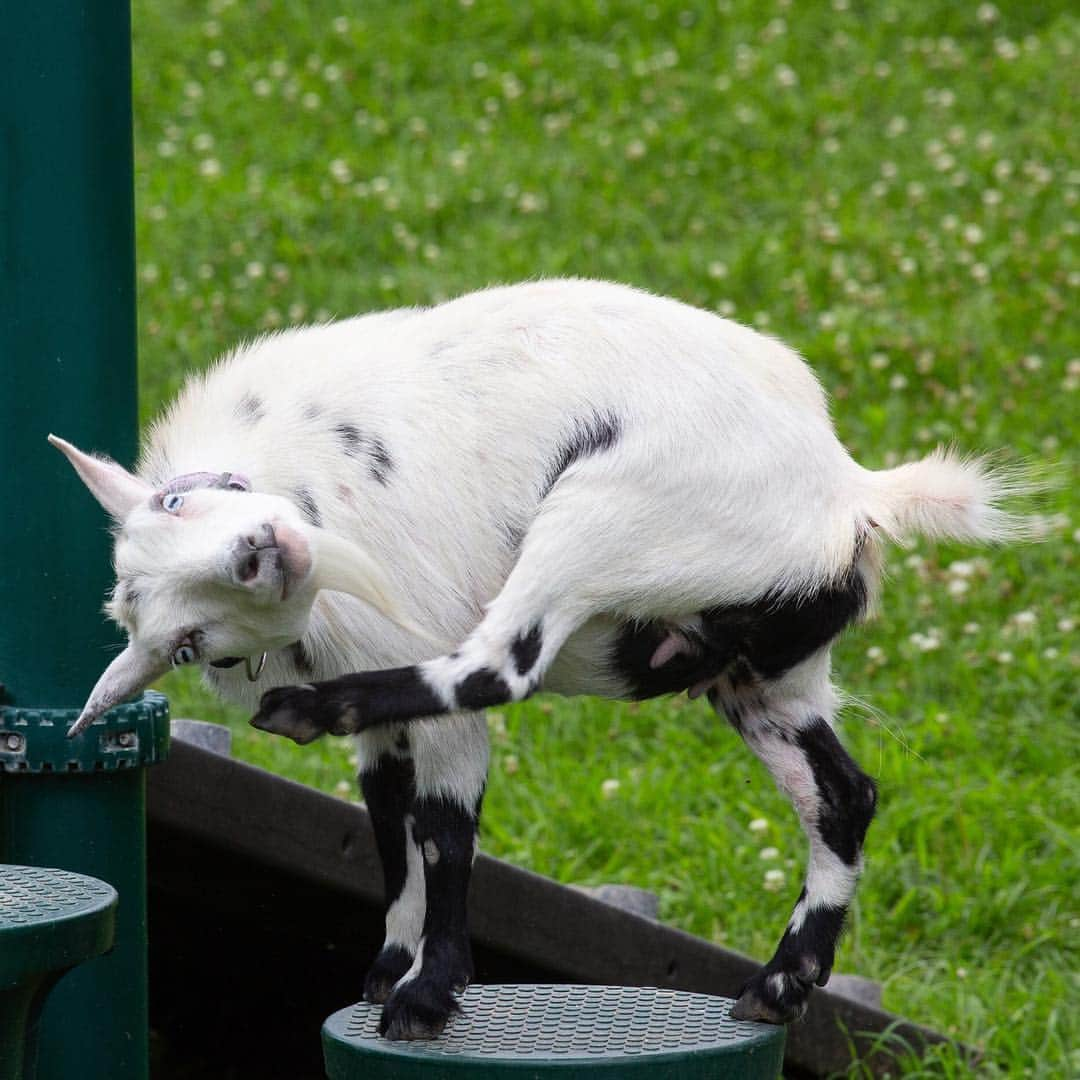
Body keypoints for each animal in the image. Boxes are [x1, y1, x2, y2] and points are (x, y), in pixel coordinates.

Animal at [50, 278, 1028, 1036]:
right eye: (181, 642)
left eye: (177, 502)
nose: (259, 551)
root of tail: (850, 492)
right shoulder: (385, 735)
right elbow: (391, 823)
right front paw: (391, 969)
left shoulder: (415, 647)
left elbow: (443, 826)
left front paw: (427, 996)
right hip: (761, 676)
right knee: (842, 797)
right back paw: (779, 986)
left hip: (595, 518)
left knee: (499, 665)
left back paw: (306, 714)